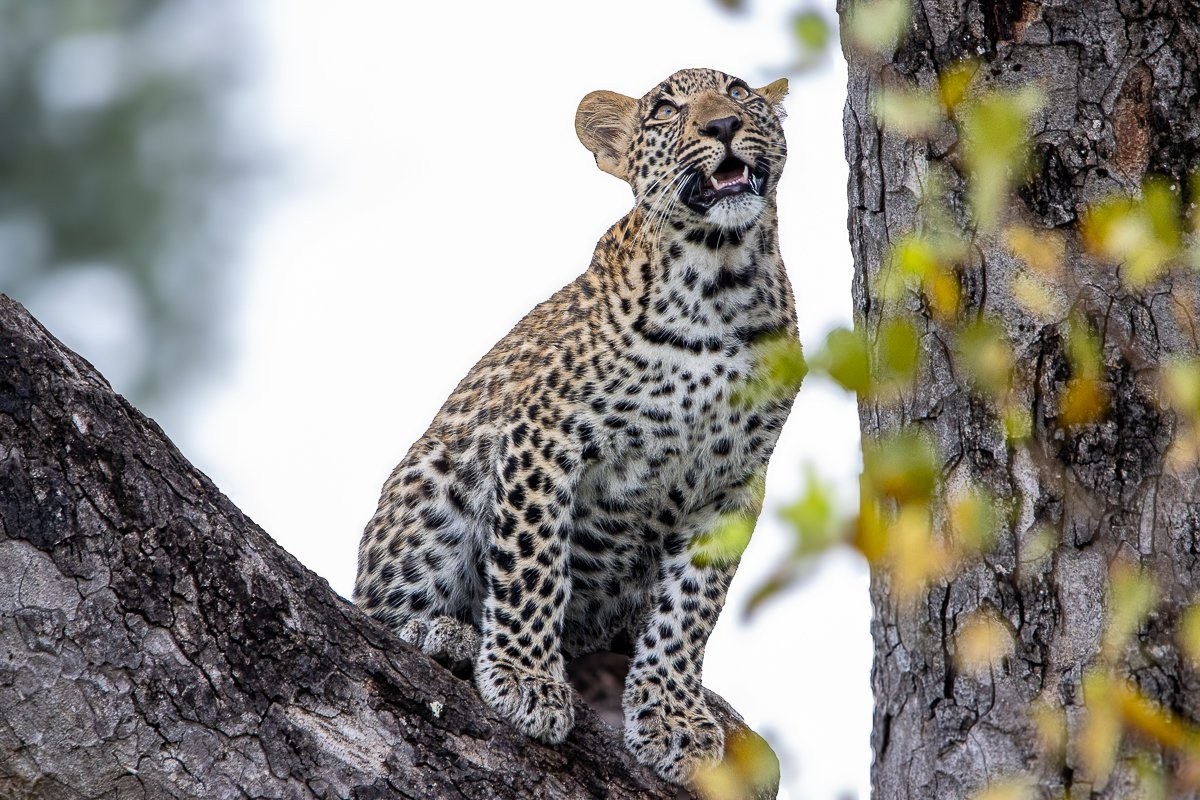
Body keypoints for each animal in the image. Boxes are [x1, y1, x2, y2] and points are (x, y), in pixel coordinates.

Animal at [354, 67, 798, 785]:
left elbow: (690, 611)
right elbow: (534, 564)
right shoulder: (546, 432)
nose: (724, 124)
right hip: (435, 479)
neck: (721, 283)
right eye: (666, 109)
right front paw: (524, 678)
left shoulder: (735, 487)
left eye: (740, 93)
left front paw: (671, 716)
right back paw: (442, 634)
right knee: (374, 605)